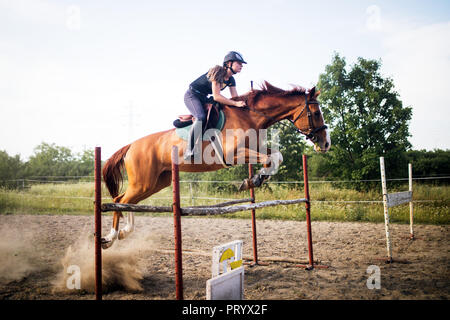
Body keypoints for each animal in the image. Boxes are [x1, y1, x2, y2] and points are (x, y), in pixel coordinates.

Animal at [100, 81, 328, 249]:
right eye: (316, 113)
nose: (326, 144)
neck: (250, 116)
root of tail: (131, 145)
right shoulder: (233, 155)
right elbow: (268, 159)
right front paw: (253, 180)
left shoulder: (255, 149)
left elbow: (276, 157)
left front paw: (256, 178)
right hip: (143, 182)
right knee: (120, 200)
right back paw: (110, 238)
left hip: (155, 183)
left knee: (126, 201)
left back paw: (123, 233)